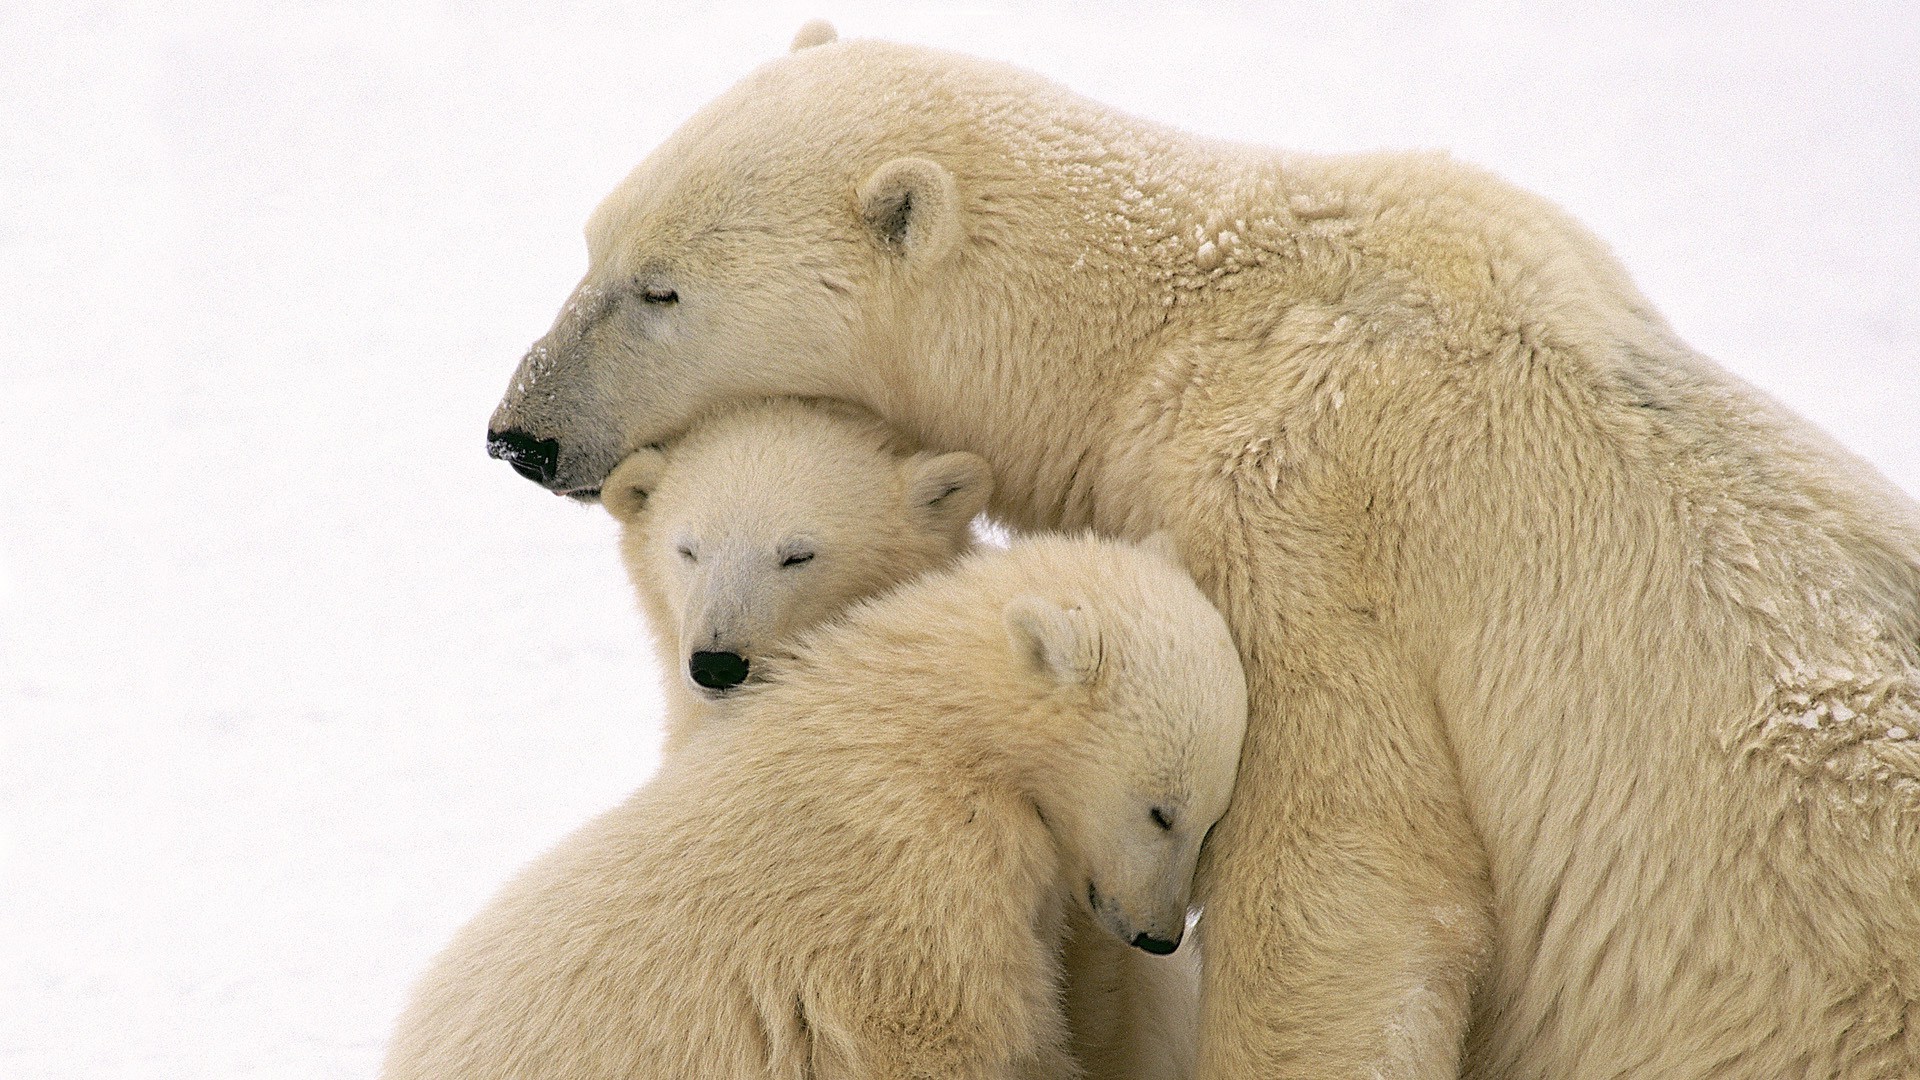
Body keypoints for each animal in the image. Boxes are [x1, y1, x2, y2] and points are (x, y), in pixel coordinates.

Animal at [382, 534, 1251, 1076]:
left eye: (1214, 818)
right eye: (1162, 811)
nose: (1160, 936)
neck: (937, 726)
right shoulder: (913, 877)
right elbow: (950, 1034)